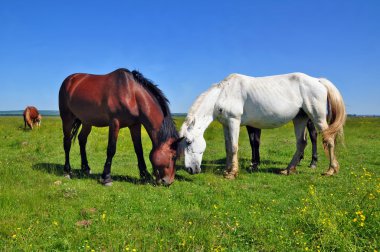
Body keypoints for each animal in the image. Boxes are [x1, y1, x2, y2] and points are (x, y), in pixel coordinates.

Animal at [180, 73, 346, 178]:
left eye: (188, 142)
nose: (191, 169)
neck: (223, 93)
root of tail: (317, 80)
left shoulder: (234, 121)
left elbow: (234, 147)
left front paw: (233, 173)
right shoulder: (226, 124)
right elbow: (228, 147)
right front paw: (227, 170)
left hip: (317, 117)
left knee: (328, 140)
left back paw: (330, 170)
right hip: (300, 119)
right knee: (301, 143)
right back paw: (288, 170)